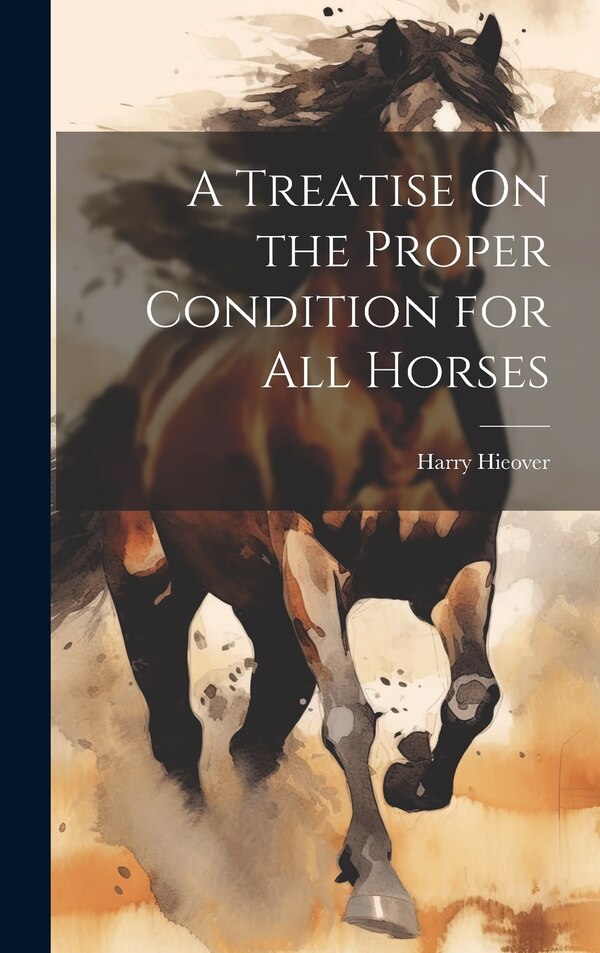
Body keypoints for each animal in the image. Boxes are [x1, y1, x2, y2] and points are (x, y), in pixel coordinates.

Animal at [54, 15, 526, 940]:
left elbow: (472, 695)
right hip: (154, 585)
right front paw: (380, 886)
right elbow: (349, 715)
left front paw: (411, 780)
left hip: (263, 609)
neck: (395, 391)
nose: (446, 277)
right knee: (178, 733)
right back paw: (201, 872)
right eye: (392, 139)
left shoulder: (461, 563)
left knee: (254, 739)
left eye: (486, 139)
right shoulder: (313, 564)